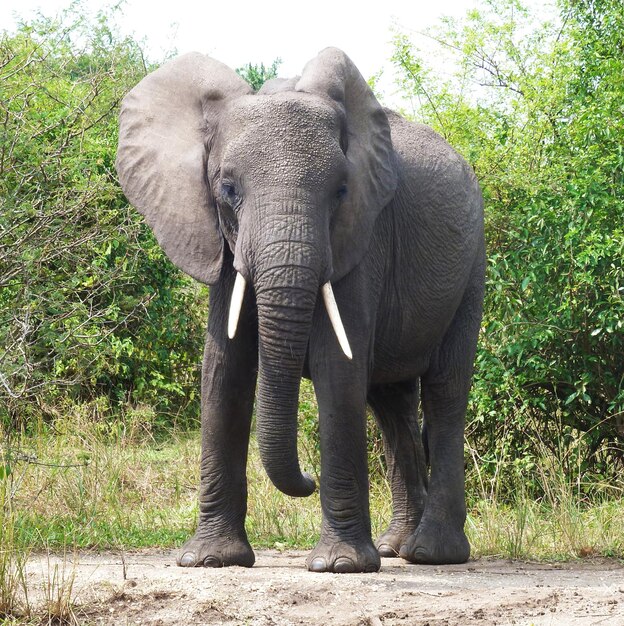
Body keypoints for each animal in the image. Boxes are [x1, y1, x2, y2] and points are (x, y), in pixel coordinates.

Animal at [118, 47, 488, 572]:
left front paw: (340, 566)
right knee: (391, 403)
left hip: (471, 264)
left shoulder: (361, 240)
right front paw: (209, 560)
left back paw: (432, 554)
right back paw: (396, 548)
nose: (307, 480)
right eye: (227, 189)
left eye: (341, 192)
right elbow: (223, 371)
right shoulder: (223, 247)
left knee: (445, 392)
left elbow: (338, 369)